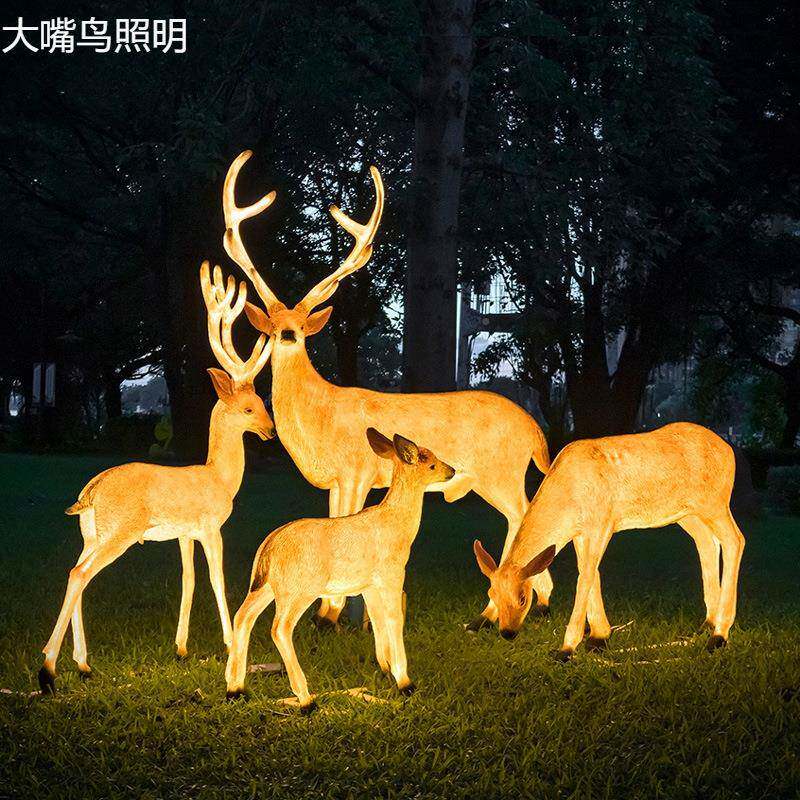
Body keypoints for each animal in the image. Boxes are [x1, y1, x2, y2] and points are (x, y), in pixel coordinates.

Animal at [38, 263, 274, 695]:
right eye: (250, 408)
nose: (270, 431)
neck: (219, 478)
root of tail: (90, 493)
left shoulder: (183, 533)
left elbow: (189, 579)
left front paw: (181, 647)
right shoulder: (211, 526)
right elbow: (216, 578)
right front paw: (229, 641)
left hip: (91, 533)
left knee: (75, 572)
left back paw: (82, 663)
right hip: (121, 531)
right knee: (80, 574)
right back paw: (48, 668)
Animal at [218, 150, 553, 631]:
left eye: (298, 328)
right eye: (275, 324)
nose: (285, 333)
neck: (318, 413)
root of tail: (535, 430)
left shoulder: (357, 470)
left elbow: (345, 522)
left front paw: (329, 616)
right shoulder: (336, 479)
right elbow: (334, 522)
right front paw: (335, 613)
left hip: (501, 471)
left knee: (526, 518)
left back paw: (511, 609)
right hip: (494, 478)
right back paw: (516, 608)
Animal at [225, 427, 456, 713]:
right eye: (430, 462)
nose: (452, 470)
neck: (398, 526)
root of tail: (269, 547)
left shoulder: (369, 585)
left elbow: (377, 621)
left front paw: (385, 670)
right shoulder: (392, 574)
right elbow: (394, 619)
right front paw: (405, 683)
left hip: (265, 586)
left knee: (243, 616)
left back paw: (235, 689)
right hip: (299, 589)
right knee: (280, 628)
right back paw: (306, 700)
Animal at [473, 422, 746, 660]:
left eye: (523, 597)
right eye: (491, 592)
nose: (507, 632)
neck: (567, 496)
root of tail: (730, 453)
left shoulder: (602, 523)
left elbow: (585, 576)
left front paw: (567, 649)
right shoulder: (581, 532)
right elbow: (590, 573)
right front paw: (598, 637)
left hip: (715, 502)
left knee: (735, 539)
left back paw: (719, 635)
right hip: (687, 513)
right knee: (708, 542)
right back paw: (707, 624)